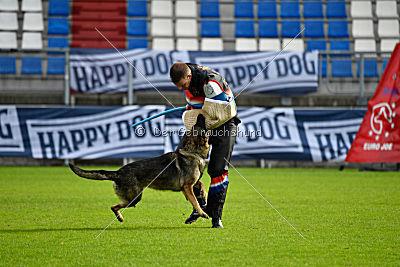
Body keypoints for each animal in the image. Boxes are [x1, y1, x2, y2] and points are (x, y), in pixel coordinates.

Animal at [69, 116, 211, 223]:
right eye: (199, 124)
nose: (200, 114)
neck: (193, 152)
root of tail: (118, 172)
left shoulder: (191, 184)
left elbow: (202, 185)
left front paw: (204, 195)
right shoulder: (187, 186)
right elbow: (195, 202)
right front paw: (202, 213)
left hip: (133, 198)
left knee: (114, 206)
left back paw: (119, 218)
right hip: (134, 198)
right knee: (114, 206)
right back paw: (119, 217)